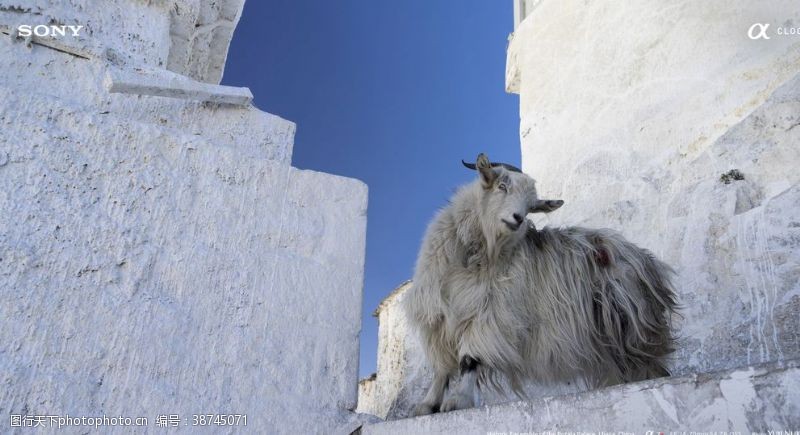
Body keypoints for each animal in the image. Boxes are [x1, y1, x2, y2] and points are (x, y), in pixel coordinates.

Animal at [406, 153, 676, 416]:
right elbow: (441, 369)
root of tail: (644, 258)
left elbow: (469, 360)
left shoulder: (489, 316)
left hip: (629, 323)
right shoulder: (438, 320)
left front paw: (458, 400)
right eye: (502, 186)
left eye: (530, 207)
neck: (475, 255)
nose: (517, 219)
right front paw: (427, 406)